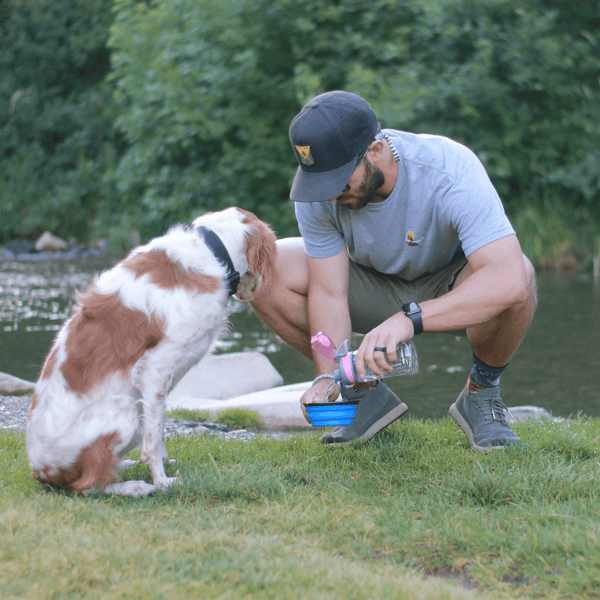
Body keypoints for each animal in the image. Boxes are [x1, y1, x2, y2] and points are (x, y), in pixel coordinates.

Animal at [27, 206, 278, 496]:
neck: (211, 251)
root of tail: (42, 471)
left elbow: (157, 428)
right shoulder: (156, 367)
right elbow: (154, 438)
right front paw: (162, 481)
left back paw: (123, 466)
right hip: (123, 407)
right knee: (87, 485)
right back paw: (134, 487)